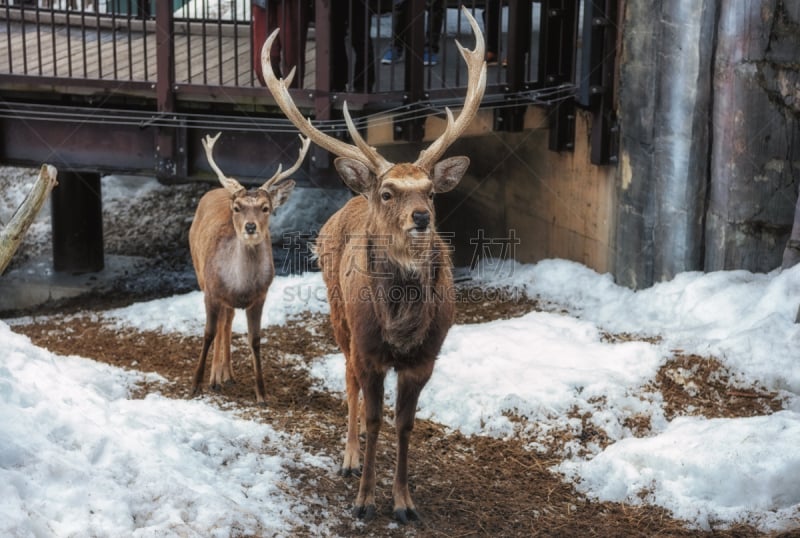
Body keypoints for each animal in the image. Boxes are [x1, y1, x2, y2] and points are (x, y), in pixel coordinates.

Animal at [189, 132, 310, 402]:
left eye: (266, 208)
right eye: (237, 208)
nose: (251, 226)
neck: (240, 286)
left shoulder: (260, 296)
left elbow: (255, 339)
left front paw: (261, 393)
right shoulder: (211, 291)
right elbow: (208, 333)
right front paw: (195, 385)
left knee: (228, 320)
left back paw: (226, 374)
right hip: (198, 270)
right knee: (222, 323)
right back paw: (215, 378)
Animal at [266, 7, 484, 520]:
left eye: (430, 191)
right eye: (388, 192)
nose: (421, 217)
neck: (400, 327)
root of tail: (349, 198)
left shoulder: (425, 358)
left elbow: (403, 425)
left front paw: (403, 503)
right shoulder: (368, 348)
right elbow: (372, 415)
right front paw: (364, 500)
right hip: (337, 311)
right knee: (345, 378)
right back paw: (347, 458)